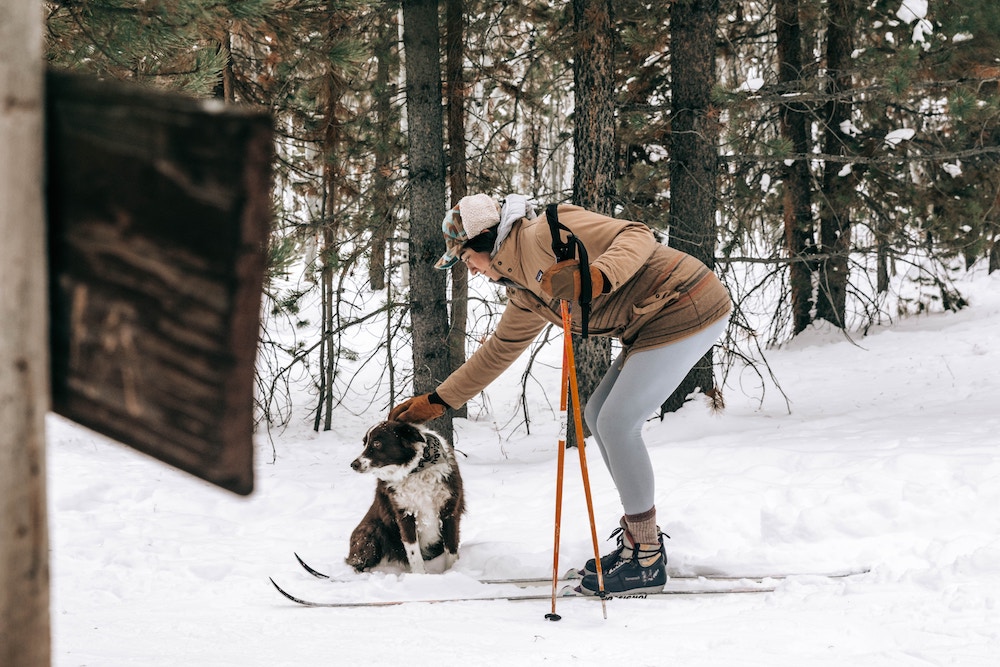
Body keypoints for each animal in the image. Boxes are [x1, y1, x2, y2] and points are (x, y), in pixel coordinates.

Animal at [348, 422, 464, 576]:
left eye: (377, 443)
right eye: (364, 443)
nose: (354, 464)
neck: (417, 470)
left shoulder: (449, 511)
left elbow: (451, 549)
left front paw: (453, 572)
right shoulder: (405, 514)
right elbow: (414, 553)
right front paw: (420, 576)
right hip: (372, 529)